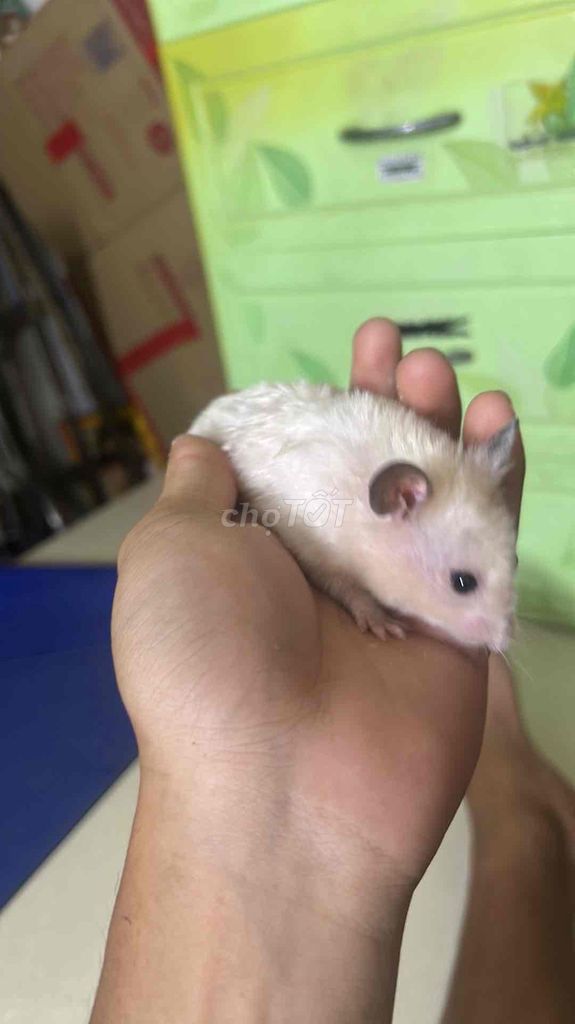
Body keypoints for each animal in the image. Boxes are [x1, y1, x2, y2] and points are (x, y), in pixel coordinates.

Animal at [190, 381, 518, 652]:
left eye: (515, 561)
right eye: (462, 582)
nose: (504, 643)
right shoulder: (318, 554)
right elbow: (349, 590)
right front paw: (386, 627)